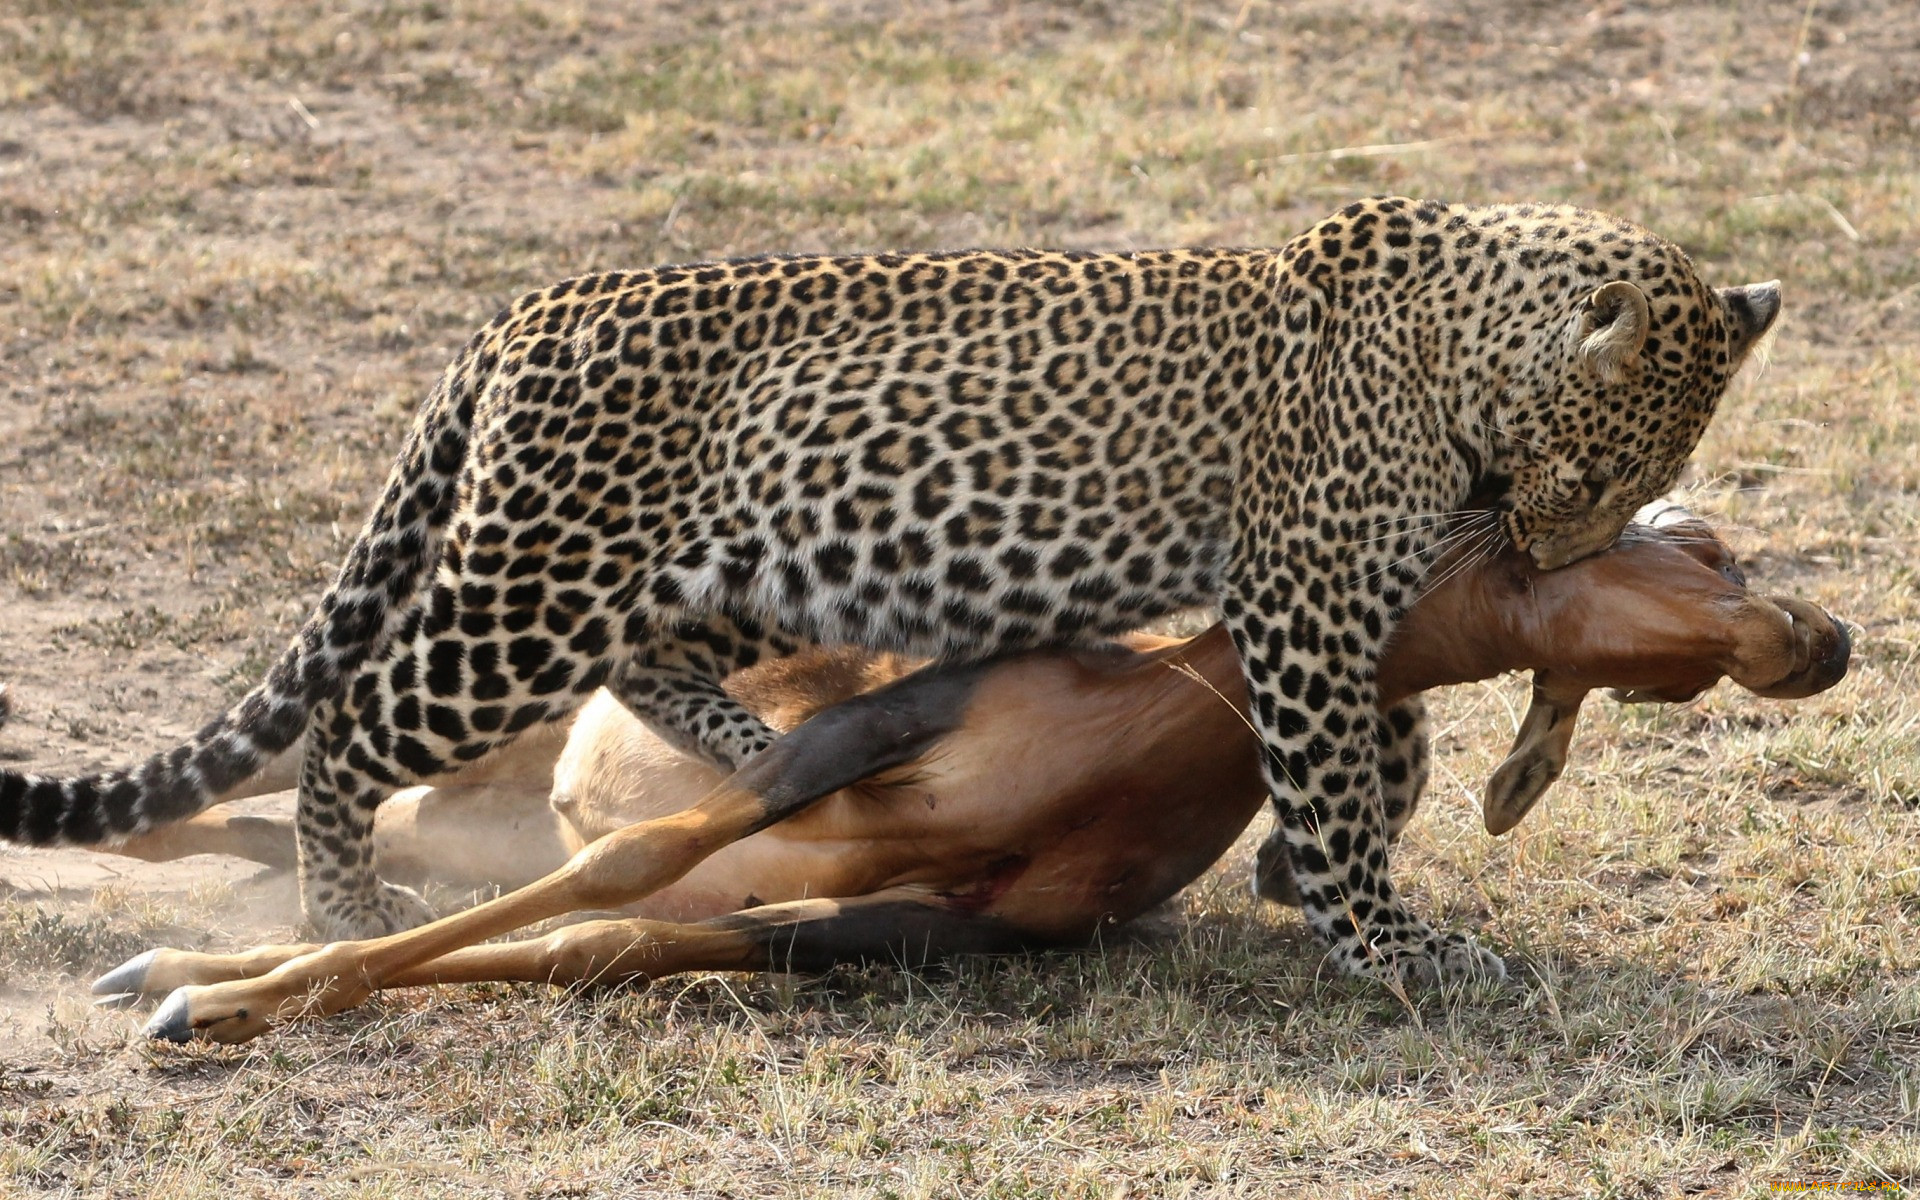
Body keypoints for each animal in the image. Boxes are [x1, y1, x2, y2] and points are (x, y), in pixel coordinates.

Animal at [0, 198, 1774, 983]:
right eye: (1590, 472)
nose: (1554, 561)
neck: (1464, 347)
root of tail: (524, 308)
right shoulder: (1308, 602)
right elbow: (1342, 778)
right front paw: (1386, 943)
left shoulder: (1326, 614)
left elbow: (1379, 754)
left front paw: (1314, 872)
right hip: (531, 586)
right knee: (354, 726)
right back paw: (342, 910)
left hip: (765, 563)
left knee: (656, 668)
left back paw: (763, 758)